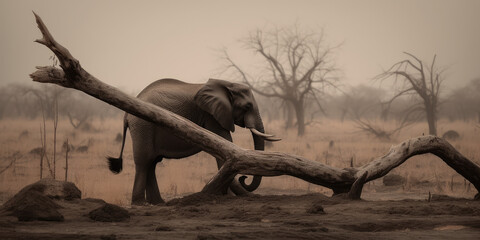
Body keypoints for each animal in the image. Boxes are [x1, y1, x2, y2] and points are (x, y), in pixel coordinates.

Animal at [107, 78, 280, 204]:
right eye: (247, 106)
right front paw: (229, 197)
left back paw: (158, 203)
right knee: (144, 162)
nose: (244, 178)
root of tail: (126, 115)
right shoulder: (211, 115)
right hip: (143, 126)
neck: (226, 84)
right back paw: (140, 204)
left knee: (152, 163)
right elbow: (224, 144)